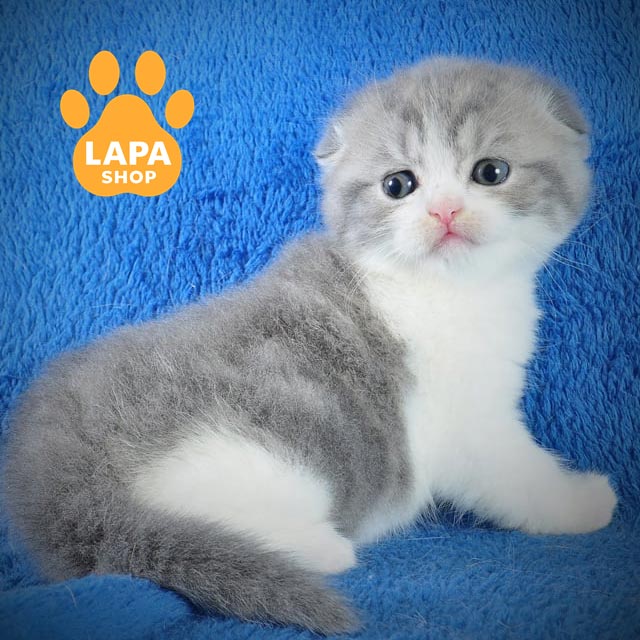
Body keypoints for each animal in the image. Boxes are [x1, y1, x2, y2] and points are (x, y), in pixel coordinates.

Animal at [3, 57, 617, 635]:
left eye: (491, 172)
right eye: (399, 184)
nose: (444, 210)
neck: (449, 291)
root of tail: (56, 476)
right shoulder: (470, 427)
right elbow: (517, 475)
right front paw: (579, 502)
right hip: (257, 447)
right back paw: (312, 546)